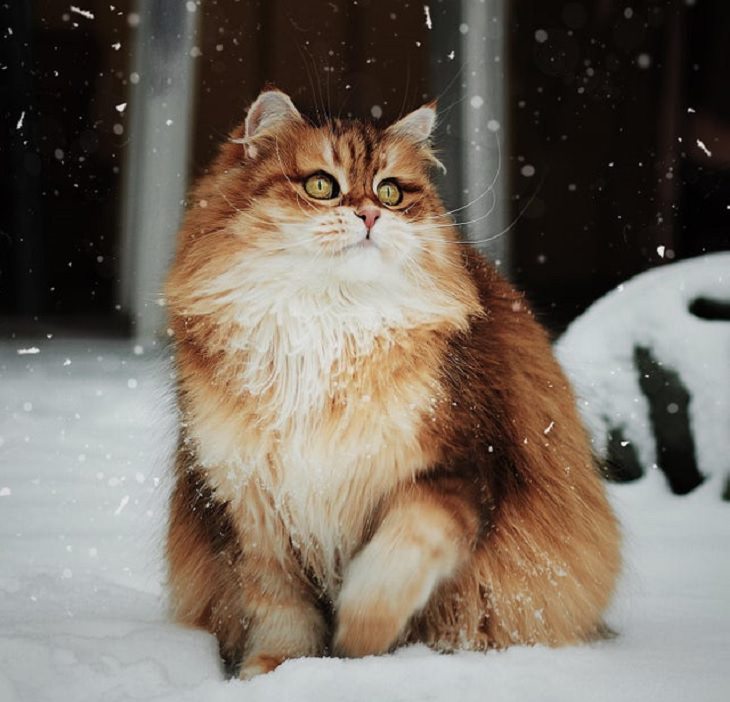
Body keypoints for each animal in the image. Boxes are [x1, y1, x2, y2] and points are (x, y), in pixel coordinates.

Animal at [165, 89, 620, 680]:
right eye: (322, 185)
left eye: (390, 191)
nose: (369, 214)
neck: (330, 325)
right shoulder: (253, 508)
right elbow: (279, 606)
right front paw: (277, 671)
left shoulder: (460, 470)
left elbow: (391, 564)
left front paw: (358, 641)